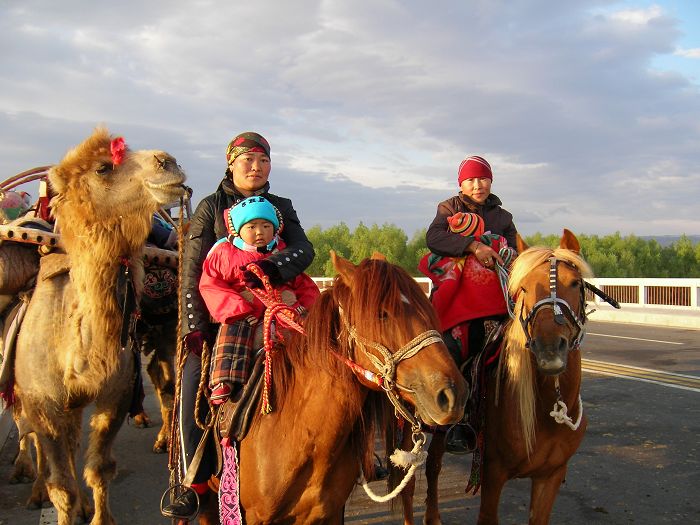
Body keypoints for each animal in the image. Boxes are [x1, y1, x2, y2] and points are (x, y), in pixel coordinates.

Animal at [13, 128, 186, 524]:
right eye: (104, 168)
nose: (168, 161)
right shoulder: (42, 399)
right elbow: (60, 484)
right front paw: (64, 505)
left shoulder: (114, 391)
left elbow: (100, 467)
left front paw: (99, 513)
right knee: (29, 432)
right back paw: (30, 484)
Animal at [400, 229, 592, 524]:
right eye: (523, 287)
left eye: (574, 283)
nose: (549, 349)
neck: (545, 410)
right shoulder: (493, 473)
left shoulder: (550, 476)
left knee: (433, 464)